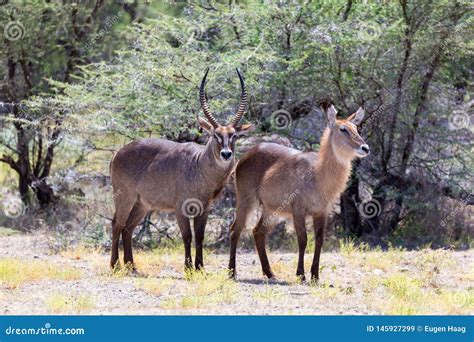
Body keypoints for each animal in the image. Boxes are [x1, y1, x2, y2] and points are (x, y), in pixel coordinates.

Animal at [109, 68, 254, 272]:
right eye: (215, 135)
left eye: (234, 136)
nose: (226, 154)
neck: (200, 166)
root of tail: (118, 153)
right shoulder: (181, 208)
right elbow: (187, 236)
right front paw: (188, 268)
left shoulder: (204, 208)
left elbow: (200, 236)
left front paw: (200, 267)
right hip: (124, 197)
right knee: (117, 224)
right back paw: (115, 266)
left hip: (142, 204)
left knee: (128, 228)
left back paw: (132, 266)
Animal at [230, 106, 370, 280]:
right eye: (343, 129)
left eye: (356, 128)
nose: (365, 148)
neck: (317, 173)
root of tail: (245, 156)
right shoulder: (298, 210)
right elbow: (303, 240)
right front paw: (301, 275)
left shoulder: (322, 212)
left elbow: (319, 240)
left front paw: (315, 276)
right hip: (247, 201)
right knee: (235, 230)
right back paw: (232, 272)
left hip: (272, 211)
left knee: (258, 232)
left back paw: (270, 274)